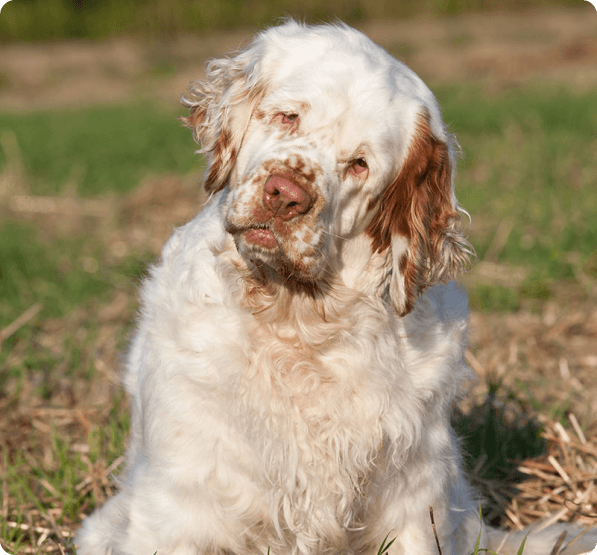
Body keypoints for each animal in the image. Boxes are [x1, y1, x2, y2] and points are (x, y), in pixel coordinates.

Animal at [75, 20, 596, 555]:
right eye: (288, 117)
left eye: (360, 164)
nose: (285, 195)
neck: (298, 326)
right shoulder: (179, 503)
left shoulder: (415, 503)